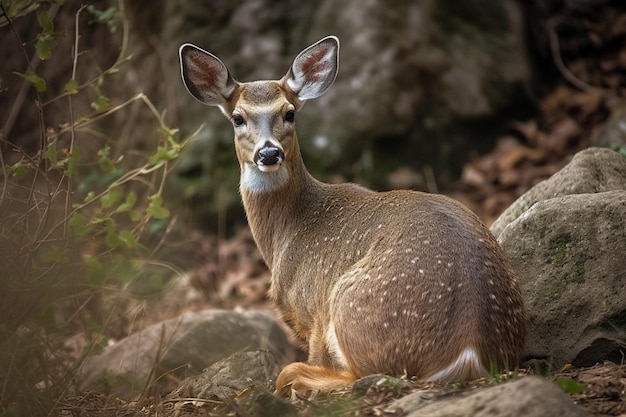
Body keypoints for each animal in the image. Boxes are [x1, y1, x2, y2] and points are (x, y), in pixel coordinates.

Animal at [178, 35, 524, 394]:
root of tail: (468, 351)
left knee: (358, 375)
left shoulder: (312, 309)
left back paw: (293, 378)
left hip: (348, 306)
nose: (269, 152)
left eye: (289, 113)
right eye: (237, 118)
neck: (288, 230)